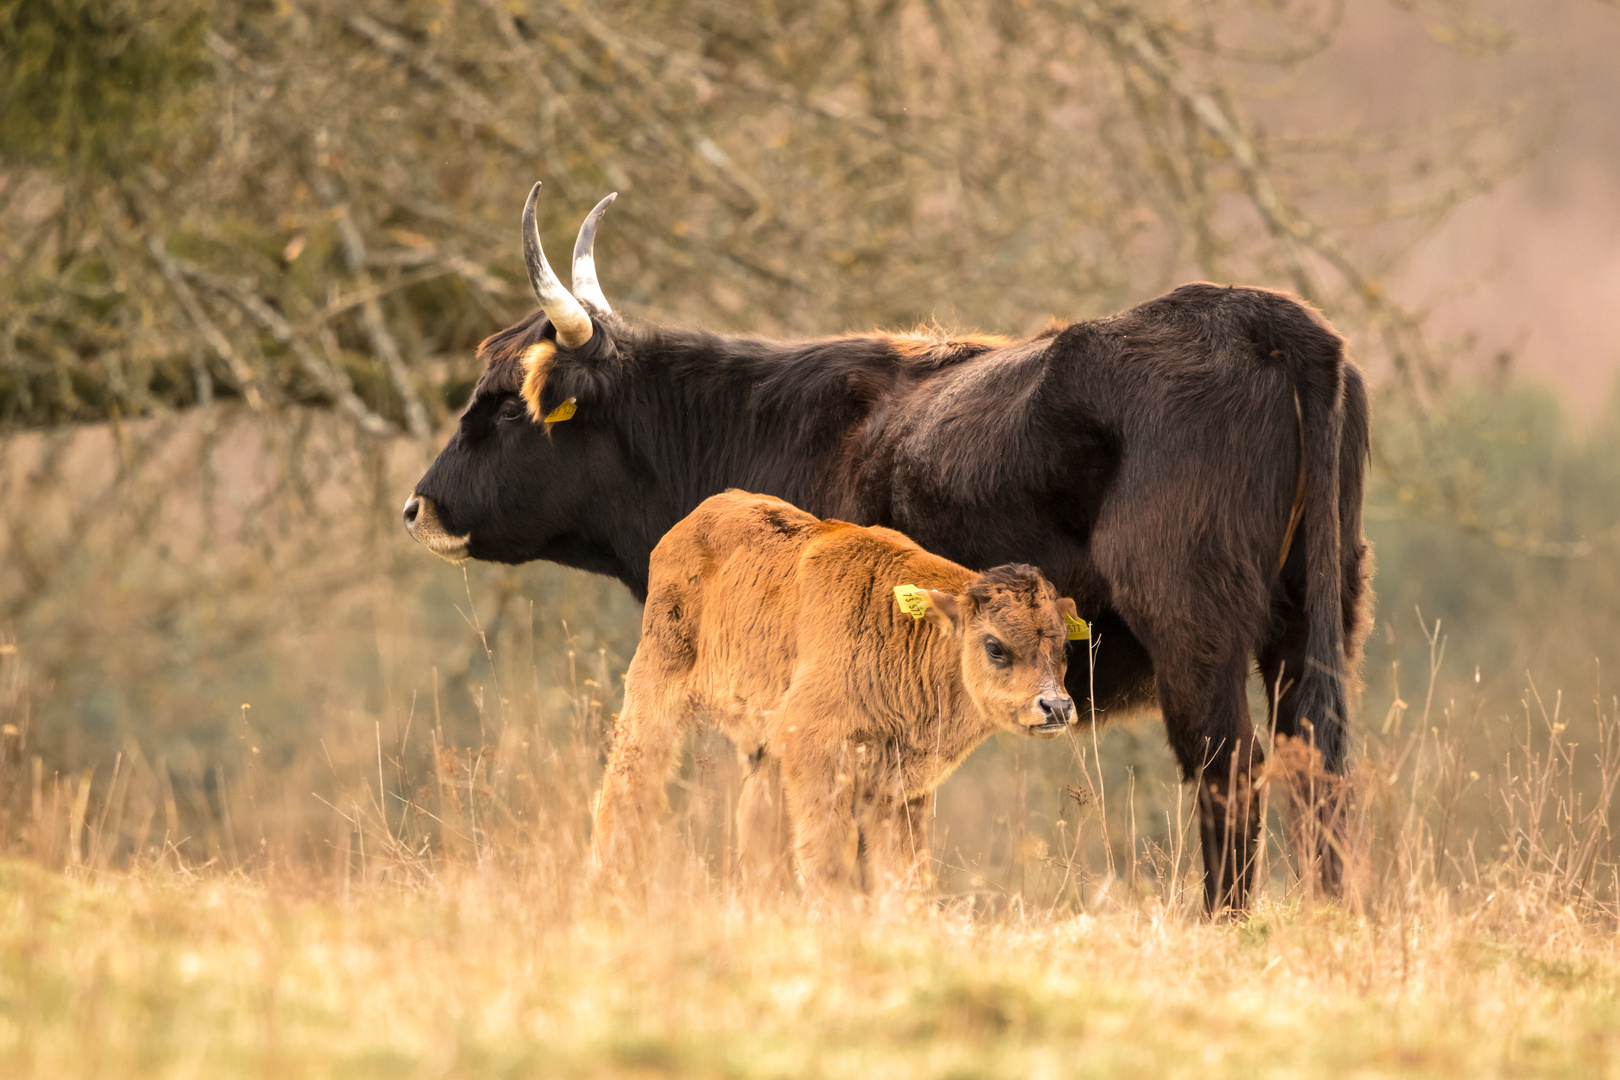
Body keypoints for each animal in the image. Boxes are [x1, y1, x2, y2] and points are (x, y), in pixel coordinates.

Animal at [592, 488, 1075, 893]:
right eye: (995, 646)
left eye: (1063, 647)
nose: (1055, 706)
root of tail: (695, 518)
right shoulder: (817, 757)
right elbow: (827, 860)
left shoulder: (898, 790)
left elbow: (904, 872)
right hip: (654, 693)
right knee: (627, 781)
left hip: (762, 748)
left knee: (758, 826)